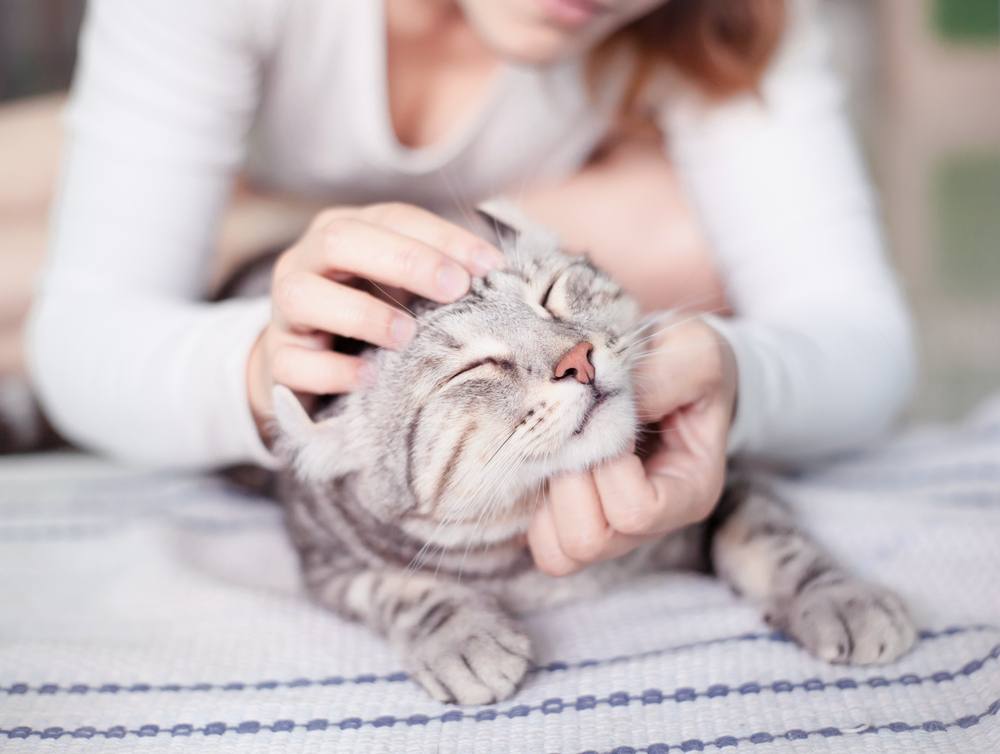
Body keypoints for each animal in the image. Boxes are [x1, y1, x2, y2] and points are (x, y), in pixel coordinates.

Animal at [272, 203, 916, 704]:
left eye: (551, 296)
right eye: (473, 369)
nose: (576, 359)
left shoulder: (731, 482)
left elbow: (772, 538)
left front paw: (838, 596)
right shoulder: (327, 565)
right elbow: (398, 590)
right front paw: (463, 637)